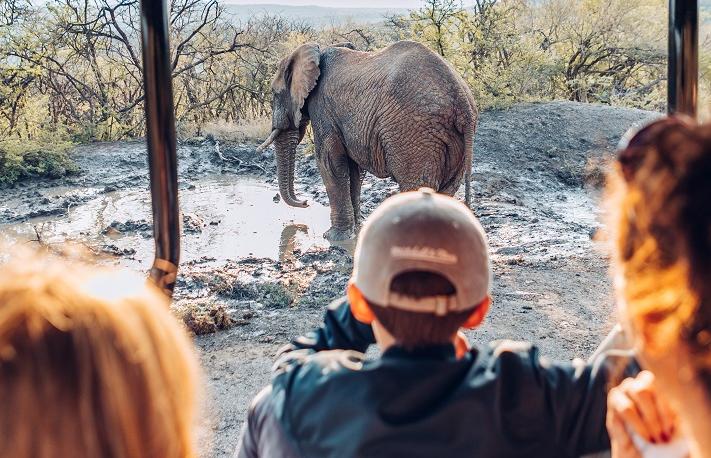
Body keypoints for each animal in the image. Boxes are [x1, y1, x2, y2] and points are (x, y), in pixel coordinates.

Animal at [258, 40, 478, 242]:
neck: (316, 51)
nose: (304, 203)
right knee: (447, 190)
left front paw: (333, 238)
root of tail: (463, 102)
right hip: (452, 140)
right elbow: (354, 169)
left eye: (275, 93)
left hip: (415, 133)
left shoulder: (323, 108)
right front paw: (355, 232)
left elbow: (330, 162)